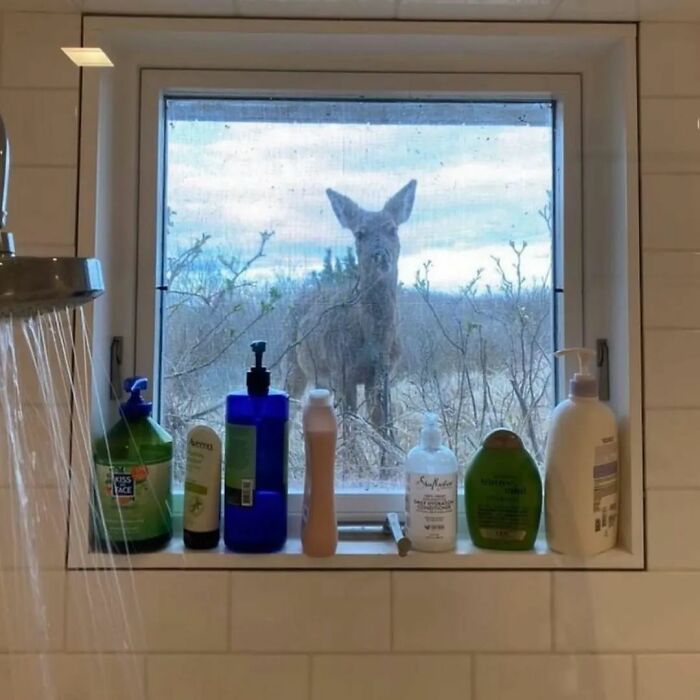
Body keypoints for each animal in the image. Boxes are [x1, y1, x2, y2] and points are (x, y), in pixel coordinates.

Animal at [288, 178, 418, 434]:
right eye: (360, 233)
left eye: (392, 229)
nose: (380, 255)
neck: (375, 340)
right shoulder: (342, 370)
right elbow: (351, 428)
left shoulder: (382, 375)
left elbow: (382, 426)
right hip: (292, 363)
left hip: (320, 377)